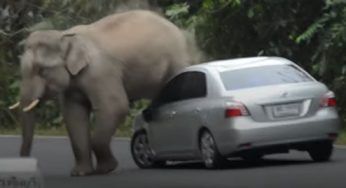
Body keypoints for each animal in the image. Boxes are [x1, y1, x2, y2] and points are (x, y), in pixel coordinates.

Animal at [9, 9, 199, 175]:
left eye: (42, 70)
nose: (26, 164)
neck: (65, 36)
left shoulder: (100, 72)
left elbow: (115, 106)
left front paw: (106, 169)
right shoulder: (72, 84)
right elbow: (74, 115)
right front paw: (81, 173)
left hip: (177, 60)